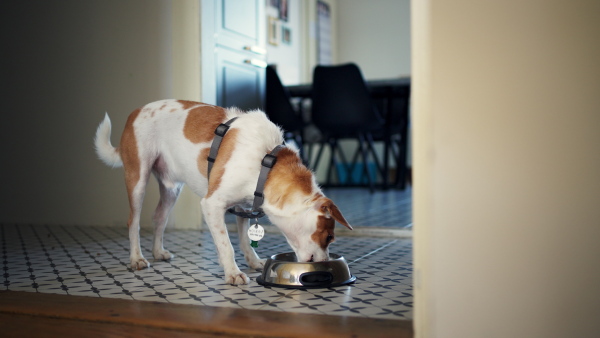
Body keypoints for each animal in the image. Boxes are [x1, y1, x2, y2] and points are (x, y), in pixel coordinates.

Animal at [94, 99, 352, 284]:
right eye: (329, 237)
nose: (326, 262)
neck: (267, 162)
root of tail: (136, 112)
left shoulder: (243, 206)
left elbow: (244, 239)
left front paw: (253, 261)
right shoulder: (212, 204)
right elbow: (226, 244)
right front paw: (233, 273)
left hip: (171, 189)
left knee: (159, 218)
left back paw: (158, 252)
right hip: (138, 178)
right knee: (134, 222)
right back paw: (137, 258)